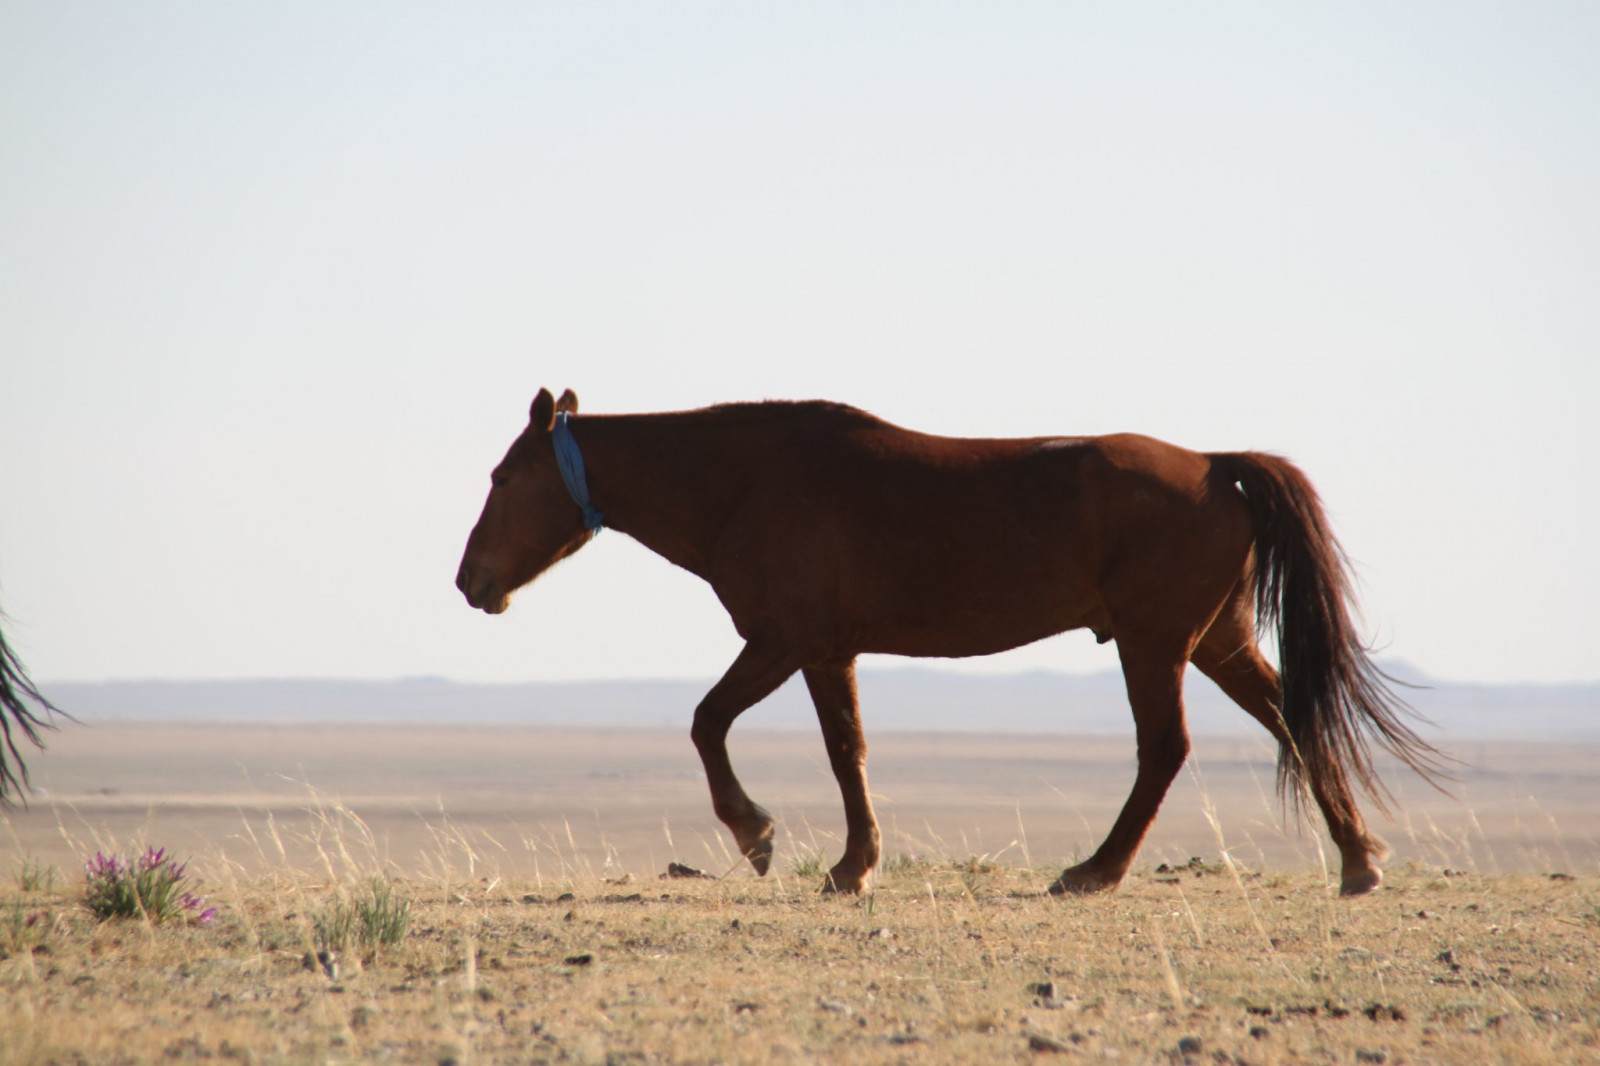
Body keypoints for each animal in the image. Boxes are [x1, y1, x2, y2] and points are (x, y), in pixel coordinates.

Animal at [457, 385, 1446, 889]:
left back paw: (1095, 871)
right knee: (1292, 721)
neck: (746, 481)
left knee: (1165, 748)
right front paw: (826, 855)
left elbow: (752, 731)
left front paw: (782, 843)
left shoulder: (794, 642)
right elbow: (817, 745)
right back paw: (1358, 861)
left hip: (1155, 642)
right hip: (1217, 641)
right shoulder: (819, 649)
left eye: (504, 477)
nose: (470, 581)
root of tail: (1213, 466)